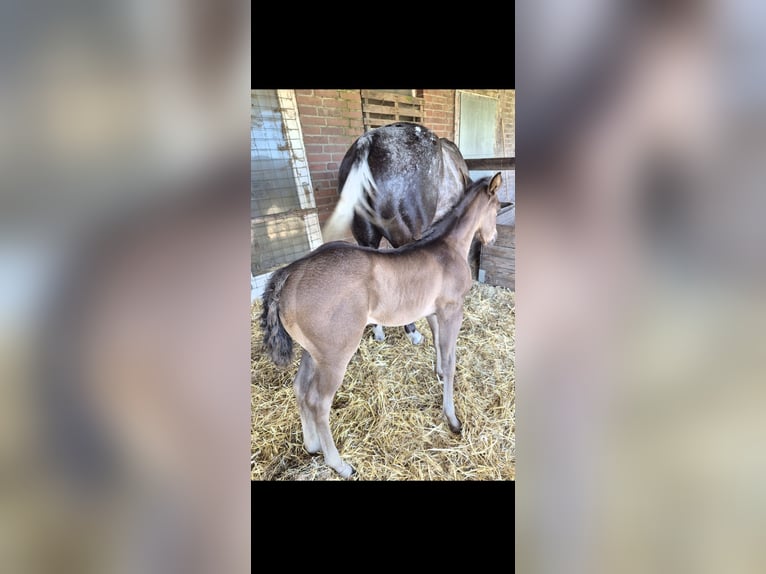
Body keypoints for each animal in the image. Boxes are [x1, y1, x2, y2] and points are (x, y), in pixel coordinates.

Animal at [261, 172, 502, 478]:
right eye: (497, 208)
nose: (493, 238)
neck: (447, 248)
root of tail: (291, 272)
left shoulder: (433, 312)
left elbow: (437, 344)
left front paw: (437, 373)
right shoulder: (452, 310)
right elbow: (450, 361)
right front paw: (452, 419)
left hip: (313, 352)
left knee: (300, 388)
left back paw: (312, 445)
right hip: (335, 355)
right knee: (318, 401)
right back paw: (340, 465)